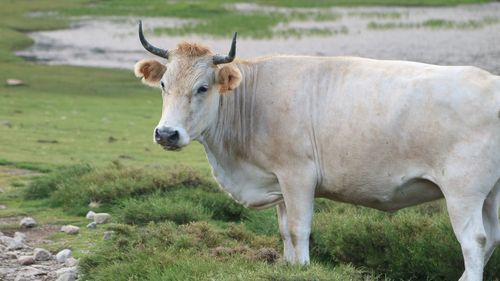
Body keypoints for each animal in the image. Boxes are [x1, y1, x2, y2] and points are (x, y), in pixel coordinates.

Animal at [134, 20, 500, 280]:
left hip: (462, 191)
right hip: (492, 194)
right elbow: (285, 231)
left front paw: (303, 268)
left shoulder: (298, 176)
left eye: (203, 87)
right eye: (164, 84)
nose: (166, 133)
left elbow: (300, 229)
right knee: (492, 237)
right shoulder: (278, 182)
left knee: (474, 241)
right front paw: (288, 267)